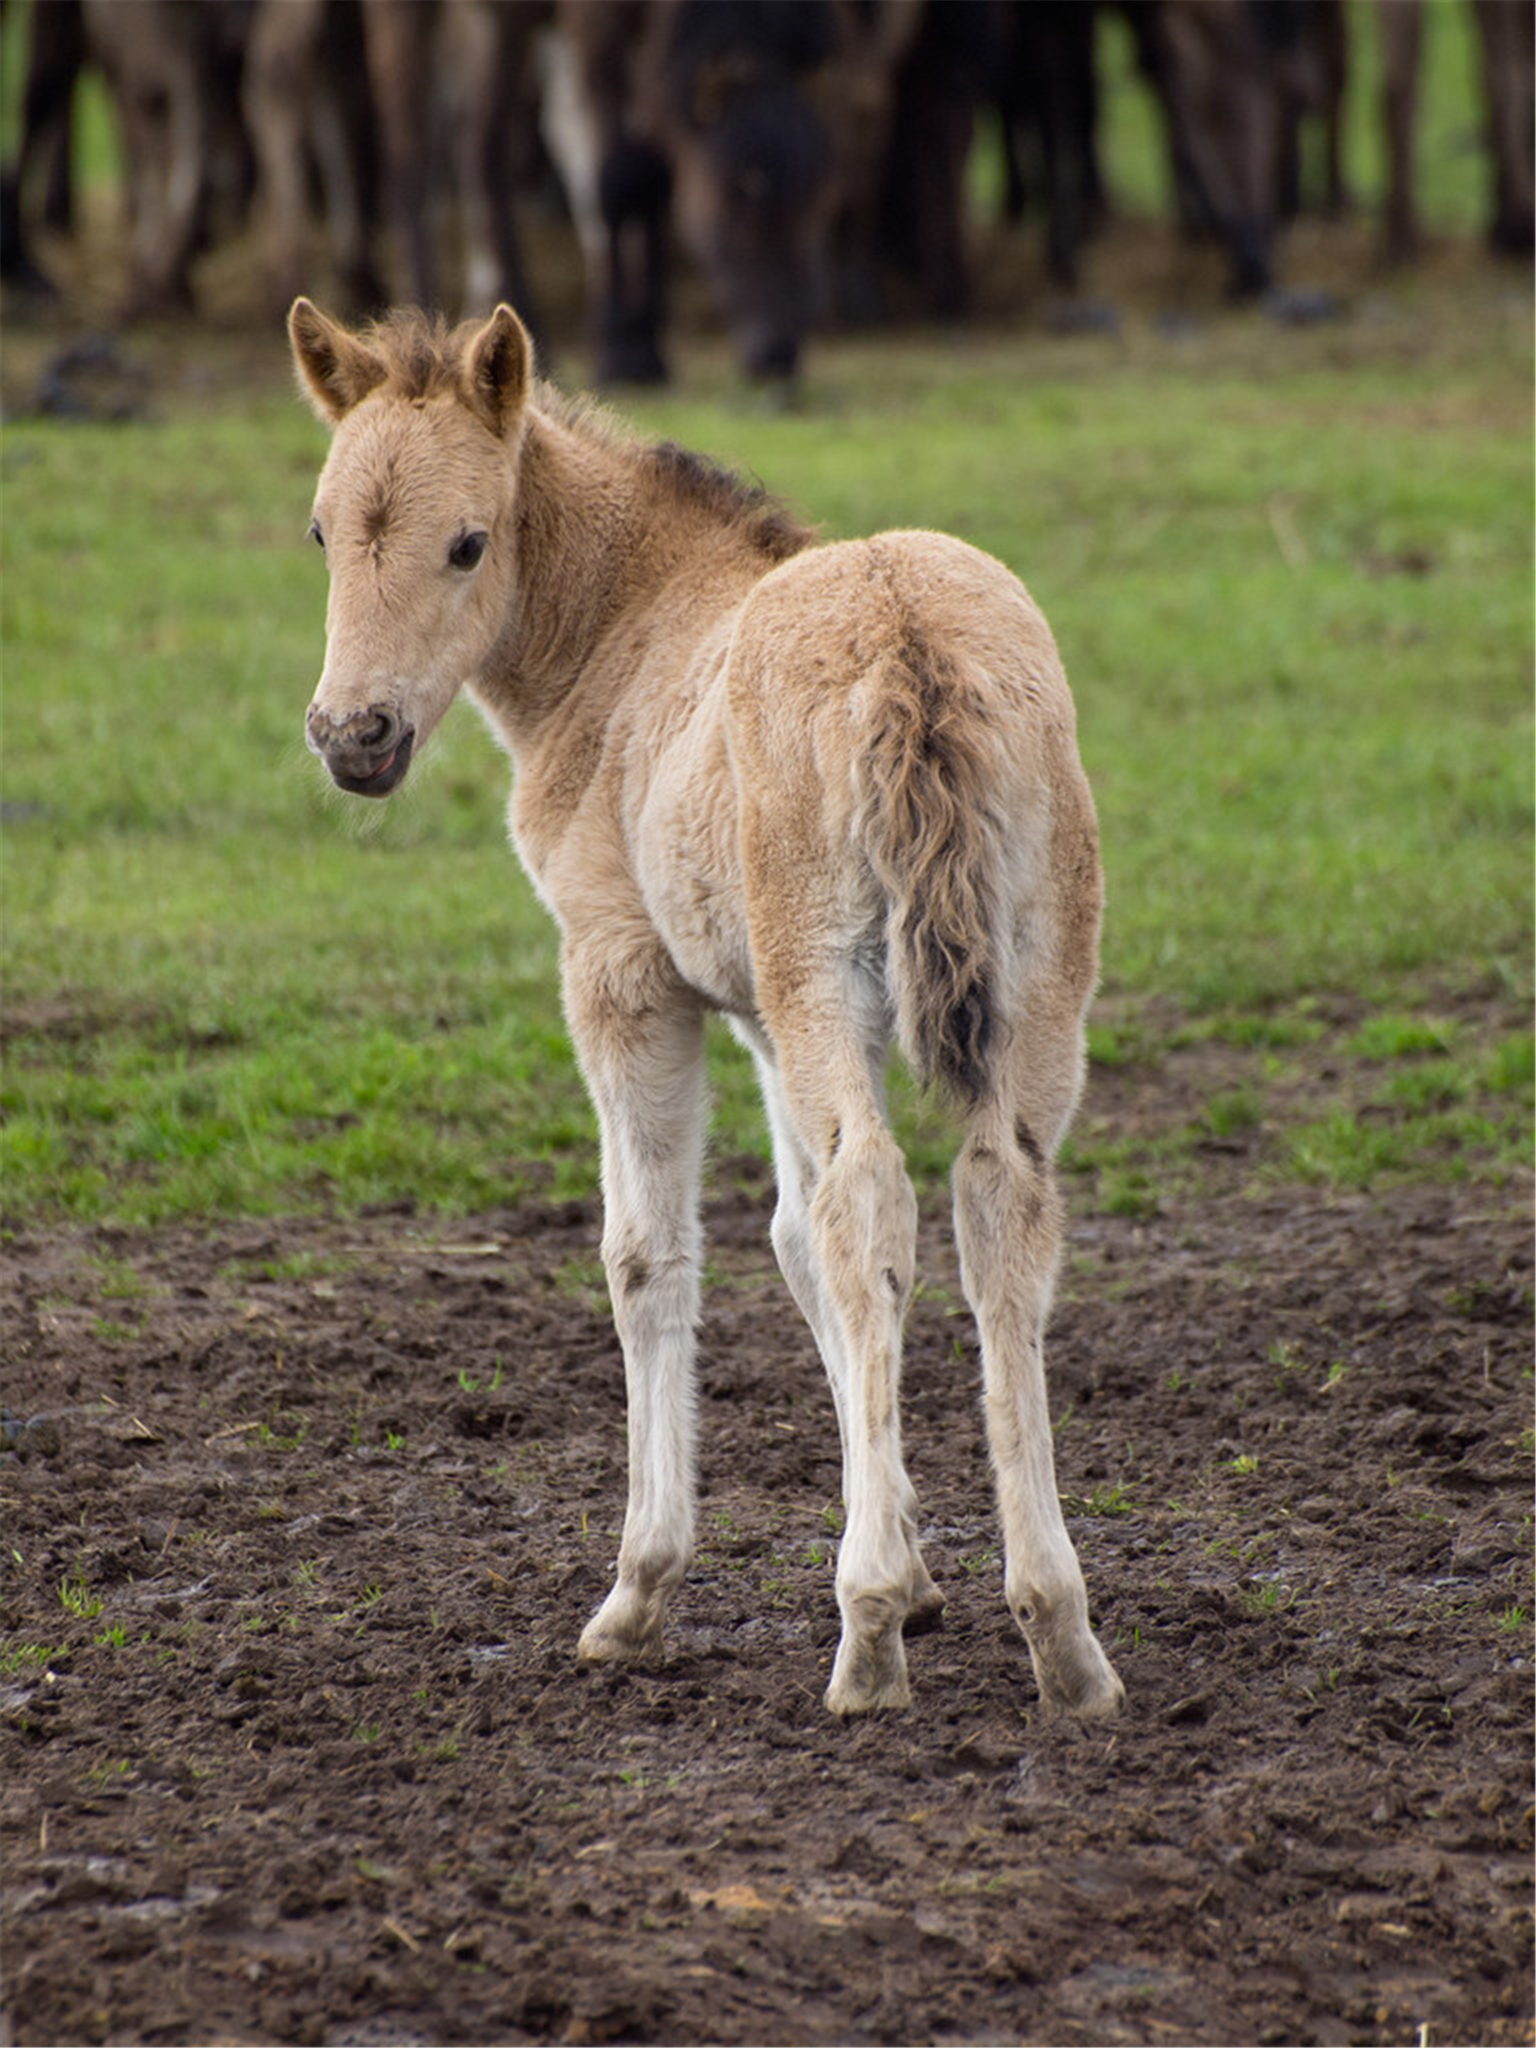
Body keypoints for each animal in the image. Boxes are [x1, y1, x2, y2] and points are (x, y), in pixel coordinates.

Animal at [290, 296, 1130, 1720]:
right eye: (322, 532)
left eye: (468, 541)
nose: (355, 735)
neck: (625, 638)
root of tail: (908, 642)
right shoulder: (760, 1018)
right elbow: (798, 1244)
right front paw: (918, 1564)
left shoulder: (624, 977)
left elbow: (648, 1253)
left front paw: (644, 1589)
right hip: (1018, 981)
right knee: (992, 1203)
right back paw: (1061, 1637)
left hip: (823, 976)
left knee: (875, 1195)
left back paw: (865, 1645)